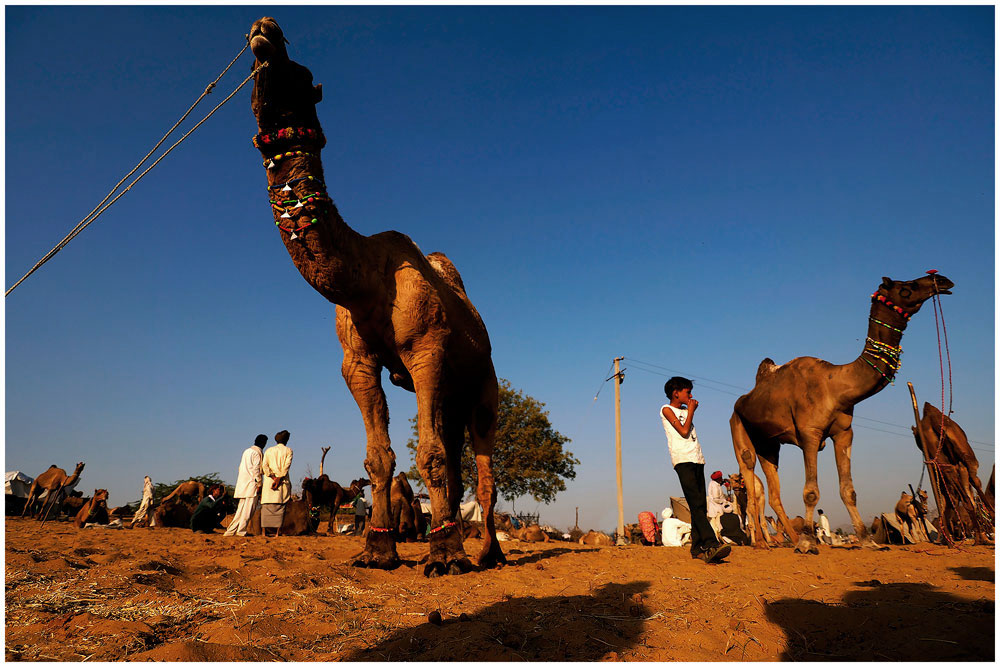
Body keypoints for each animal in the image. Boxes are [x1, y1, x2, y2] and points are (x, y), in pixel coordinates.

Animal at [247, 18, 504, 576]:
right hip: (453, 395)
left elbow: (428, 454)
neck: (365, 279)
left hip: (485, 386)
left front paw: (446, 558)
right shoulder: (357, 362)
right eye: (254, 77)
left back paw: (488, 552)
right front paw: (378, 550)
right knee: (455, 456)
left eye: (304, 74)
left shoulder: (426, 351)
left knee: (483, 467)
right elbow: (379, 456)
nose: (264, 31)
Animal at [736, 272, 952, 552]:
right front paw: (808, 541)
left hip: (769, 444)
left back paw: (786, 541)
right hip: (739, 426)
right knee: (749, 475)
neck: (836, 386)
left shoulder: (844, 433)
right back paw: (763, 543)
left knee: (773, 489)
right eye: (907, 287)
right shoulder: (810, 434)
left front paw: (868, 541)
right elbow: (811, 491)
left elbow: (849, 490)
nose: (942, 280)